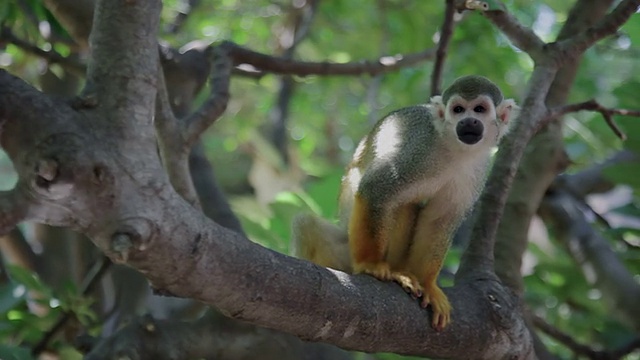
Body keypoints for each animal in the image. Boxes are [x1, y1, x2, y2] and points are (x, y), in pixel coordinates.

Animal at [292, 74, 516, 330]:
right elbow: (376, 189)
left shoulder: (476, 170)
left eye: (480, 109)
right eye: (458, 110)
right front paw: (370, 264)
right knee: (307, 222)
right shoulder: (418, 152)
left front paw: (428, 285)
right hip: (345, 250)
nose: (469, 121)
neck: (454, 148)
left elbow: (439, 219)